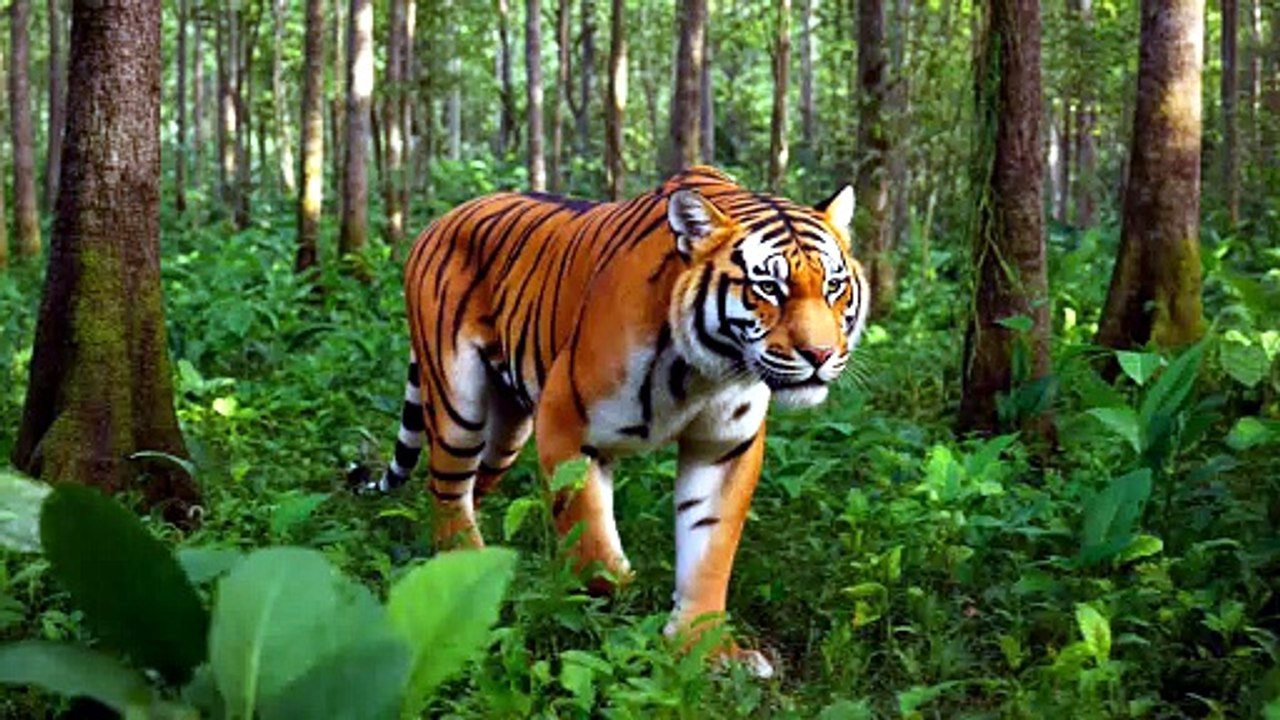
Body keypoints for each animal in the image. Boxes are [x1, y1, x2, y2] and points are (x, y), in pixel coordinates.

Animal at [369, 166, 869, 677]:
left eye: (834, 286)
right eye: (768, 287)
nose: (820, 355)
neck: (703, 371)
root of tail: (442, 218)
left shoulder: (724, 447)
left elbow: (709, 550)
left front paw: (702, 648)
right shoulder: (565, 426)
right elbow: (593, 543)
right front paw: (625, 618)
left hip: (508, 430)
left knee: (474, 486)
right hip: (459, 403)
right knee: (446, 487)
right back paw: (462, 561)